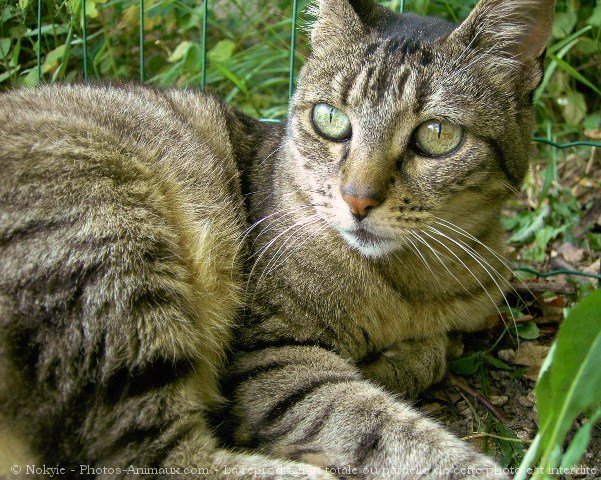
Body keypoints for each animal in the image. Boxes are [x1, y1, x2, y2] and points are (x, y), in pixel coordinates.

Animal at [0, 0, 552, 478]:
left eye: (438, 135)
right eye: (330, 119)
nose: (357, 200)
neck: (414, 285)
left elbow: (434, 350)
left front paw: (397, 361)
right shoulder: (268, 356)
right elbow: (381, 427)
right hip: (112, 239)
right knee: (148, 457)